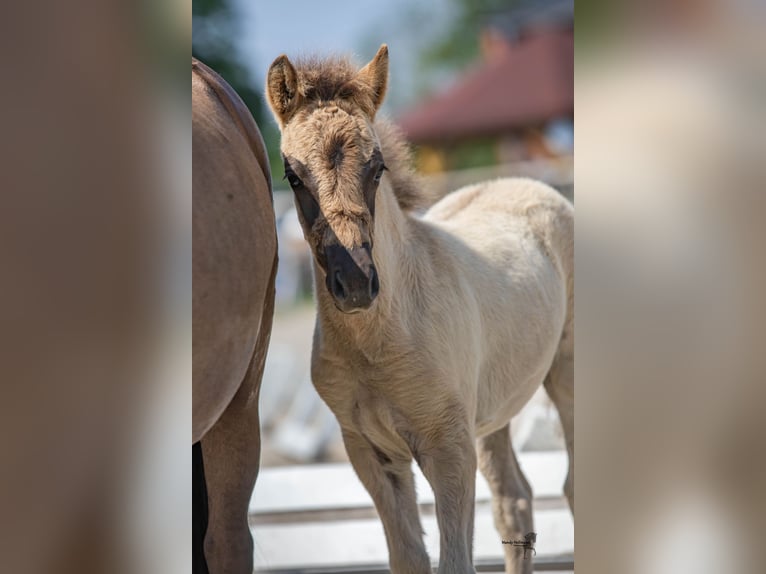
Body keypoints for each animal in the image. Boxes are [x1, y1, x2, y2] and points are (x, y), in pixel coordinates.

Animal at [268, 46, 572, 574]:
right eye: (292, 175)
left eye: (377, 168)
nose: (355, 284)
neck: (378, 341)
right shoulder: (370, 452)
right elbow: (408, 556)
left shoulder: (448, 449)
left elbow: (454, 561)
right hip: (492, 413)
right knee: (514, 500)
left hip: (566, 374)